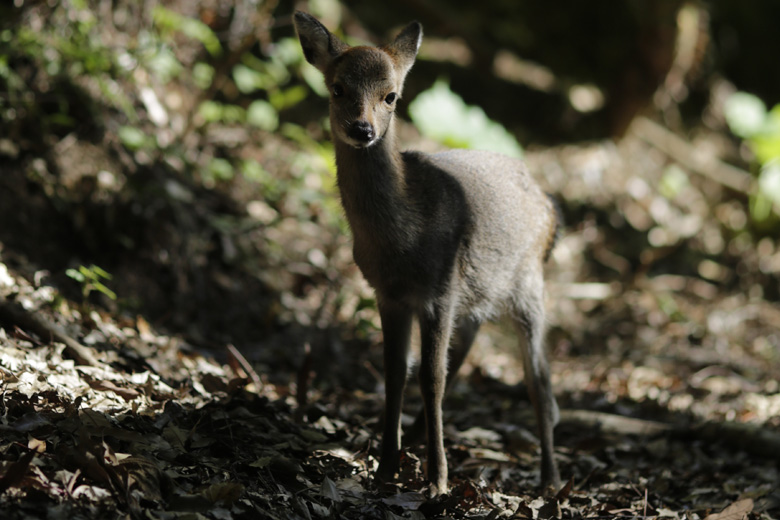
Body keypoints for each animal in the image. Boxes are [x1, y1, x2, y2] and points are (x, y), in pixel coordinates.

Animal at [292, 12, 560, 496]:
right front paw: (385, 468)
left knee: (539, 382)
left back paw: (550, 480)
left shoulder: (439, 291)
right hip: (478, 293)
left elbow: (430, 377)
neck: (402, 238)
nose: (362, 130)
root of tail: (551, 208)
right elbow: (396, 371)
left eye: (392, 95)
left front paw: (437, 481)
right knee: (469, 349)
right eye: (337, 88)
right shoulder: (389, 295)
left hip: (530, 285)